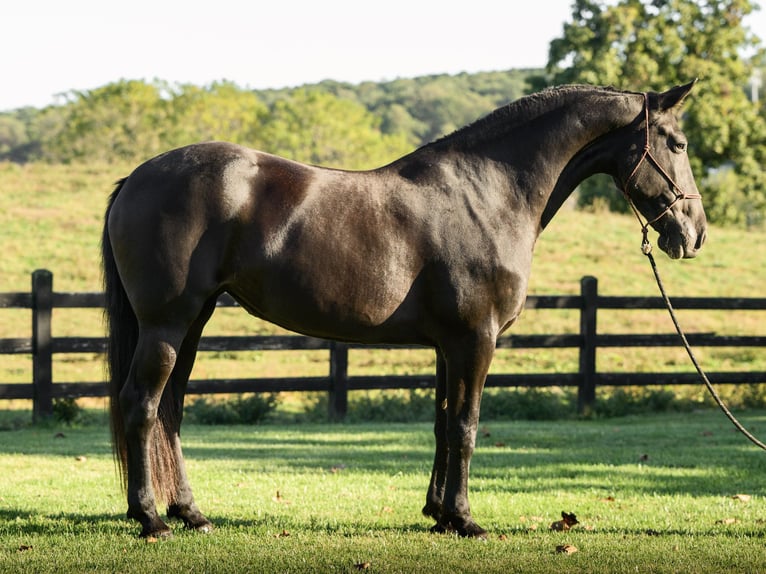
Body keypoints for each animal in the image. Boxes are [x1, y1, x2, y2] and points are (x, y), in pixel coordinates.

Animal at [102, 82, 707, 539]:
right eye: (677, 143)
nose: (694, 234)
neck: (488, 194)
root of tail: (136, 177)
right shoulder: (475, 340)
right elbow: (466, 426)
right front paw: (465, 520)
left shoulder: (449, 345)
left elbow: (442, 424)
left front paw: (438, 514)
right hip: (167, 323)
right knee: (143, 405)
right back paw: (151, 519)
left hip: (192, 323)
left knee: (171, 409)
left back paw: (190, 513)